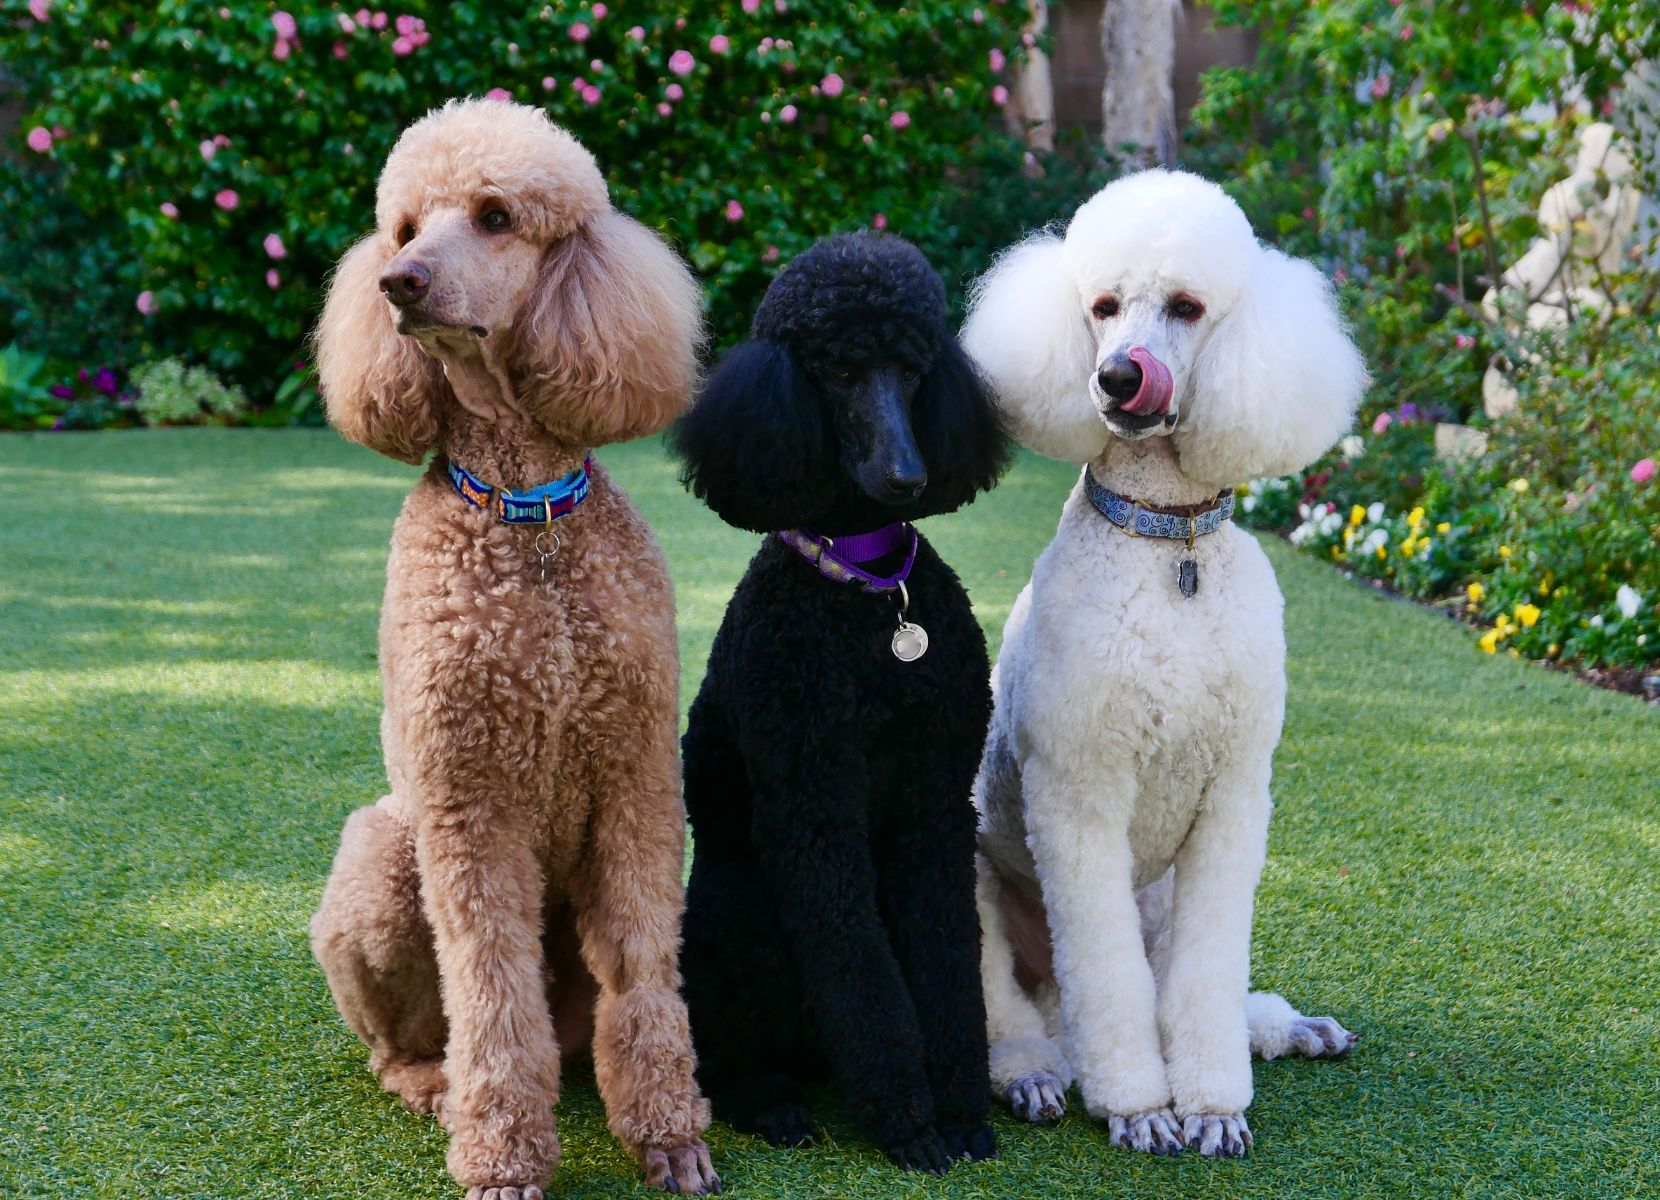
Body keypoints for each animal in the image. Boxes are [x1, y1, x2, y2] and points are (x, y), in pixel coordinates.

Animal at [308, 99, 718, 1199]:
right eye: (404, 228)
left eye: (495, 216)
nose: (398, 282)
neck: (523, 513)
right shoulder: (469, 801)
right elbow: (491, 994)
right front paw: (501, 1156)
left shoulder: (634, 779)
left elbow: (644, 970)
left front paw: (667, 1133)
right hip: (383, 858)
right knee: (401, 1043)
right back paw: (438, 1090)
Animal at [669, 232, 1011, 1173]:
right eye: (839, 372)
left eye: (914, 368)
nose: (908, 475)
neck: (865, 594)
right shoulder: (813, 806)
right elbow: (858, 967)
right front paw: (908, 1120)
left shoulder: (935, 805)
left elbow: (948, 959)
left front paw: (959, 1107)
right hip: (734, 913)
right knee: (726, 1057)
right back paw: (775, 1105)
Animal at [962, 169, 1367, 1158]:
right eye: (1101, 307)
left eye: (1187, 306)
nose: (1116, 375)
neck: (1165, 544)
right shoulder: (1080, 796)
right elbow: (1108, 983)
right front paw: (1143, 1109)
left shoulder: (1233, 799)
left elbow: (1207, 977)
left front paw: (1214, 1105)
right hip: (981, 899)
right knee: (1025, 1021)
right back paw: (1034, 1075)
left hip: (1164, 893)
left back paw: (1289, 1028)